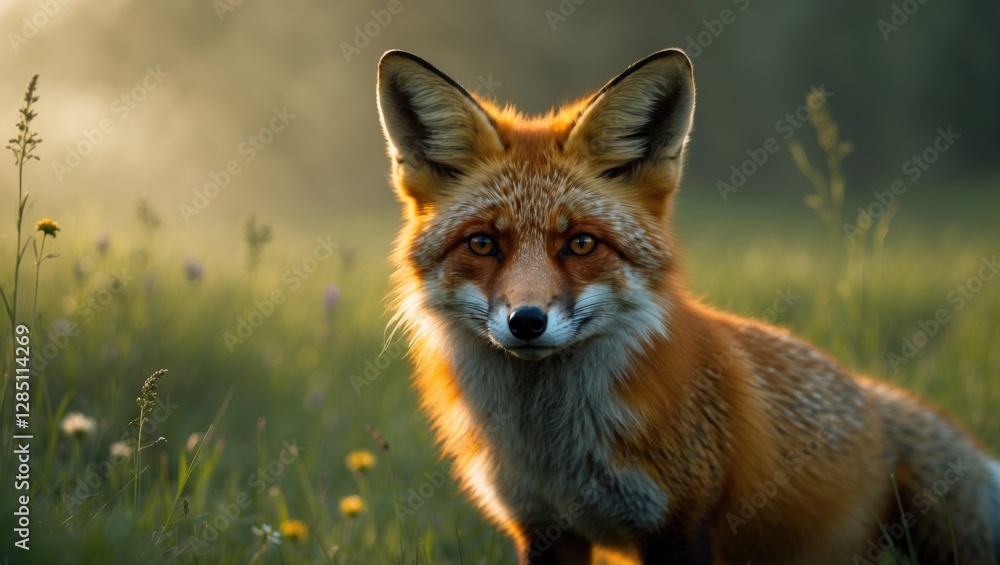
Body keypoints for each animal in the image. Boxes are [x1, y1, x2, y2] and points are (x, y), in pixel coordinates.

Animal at [375, 47, 1000, 564]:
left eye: (581, 244)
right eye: (483, 244)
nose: (526, 321)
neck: (558, 452)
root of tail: (870, 395)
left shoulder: (681, 523)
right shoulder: (544, 529)